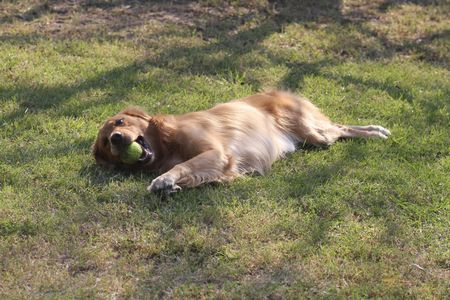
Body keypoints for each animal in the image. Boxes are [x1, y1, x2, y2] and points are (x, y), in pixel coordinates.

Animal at [92, 90, 390, 193]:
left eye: (120, 122)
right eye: (106, 143)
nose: (116, 139)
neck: (165, 146)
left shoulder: (217, 152)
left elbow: (182, 166)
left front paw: (164, 180)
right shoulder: (222, 168)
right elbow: (199, 175)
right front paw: (171, 187)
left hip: (315, 134)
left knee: (340, 128)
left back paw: (376, 131)